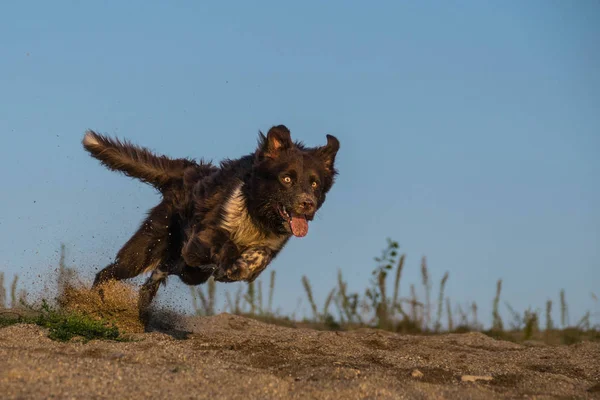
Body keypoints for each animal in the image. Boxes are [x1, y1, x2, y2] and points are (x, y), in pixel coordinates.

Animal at [82, 125, 340, 322]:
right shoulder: (203, 237)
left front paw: (243, 266)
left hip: (189, 270)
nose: (307, 204)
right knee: (109, 272)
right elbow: (227, 243)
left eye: (315, 184)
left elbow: (261, 256)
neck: (257, 215)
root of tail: (186, 172)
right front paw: (232, 262)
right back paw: (93, 301)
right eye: (286, 179)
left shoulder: (270, 245)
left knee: (159, 274)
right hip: (147, 251)